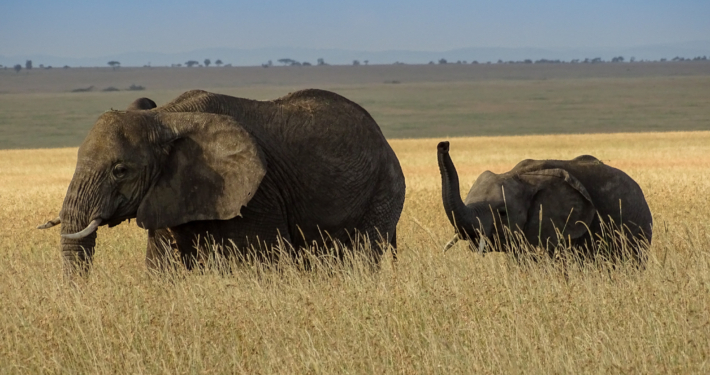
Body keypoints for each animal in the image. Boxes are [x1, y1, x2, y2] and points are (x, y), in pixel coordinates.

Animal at [39, 88, 406, 276]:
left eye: (120, 170)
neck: (165, 117)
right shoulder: (167, 191)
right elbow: (162, 268)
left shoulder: (259, 194)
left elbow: (261, 266)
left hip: (383, 191)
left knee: (364, 255)